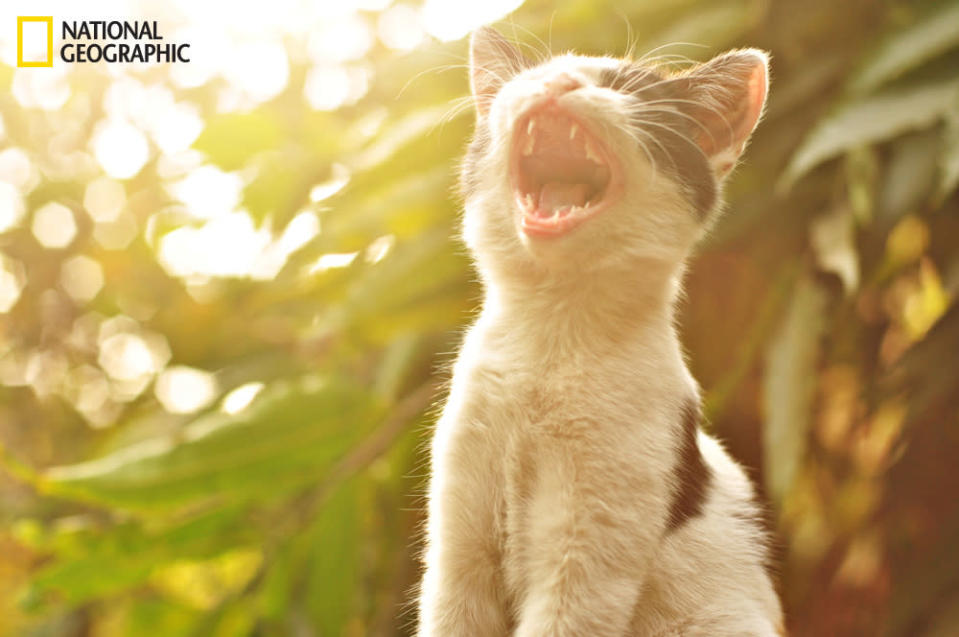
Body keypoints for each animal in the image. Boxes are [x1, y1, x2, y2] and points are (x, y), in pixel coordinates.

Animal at [416, 26, 784, 636]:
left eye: (623, 89)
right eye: (532, 78)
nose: (560, 82)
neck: (550, 345)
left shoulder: (587, 552)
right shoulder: (457, 542)